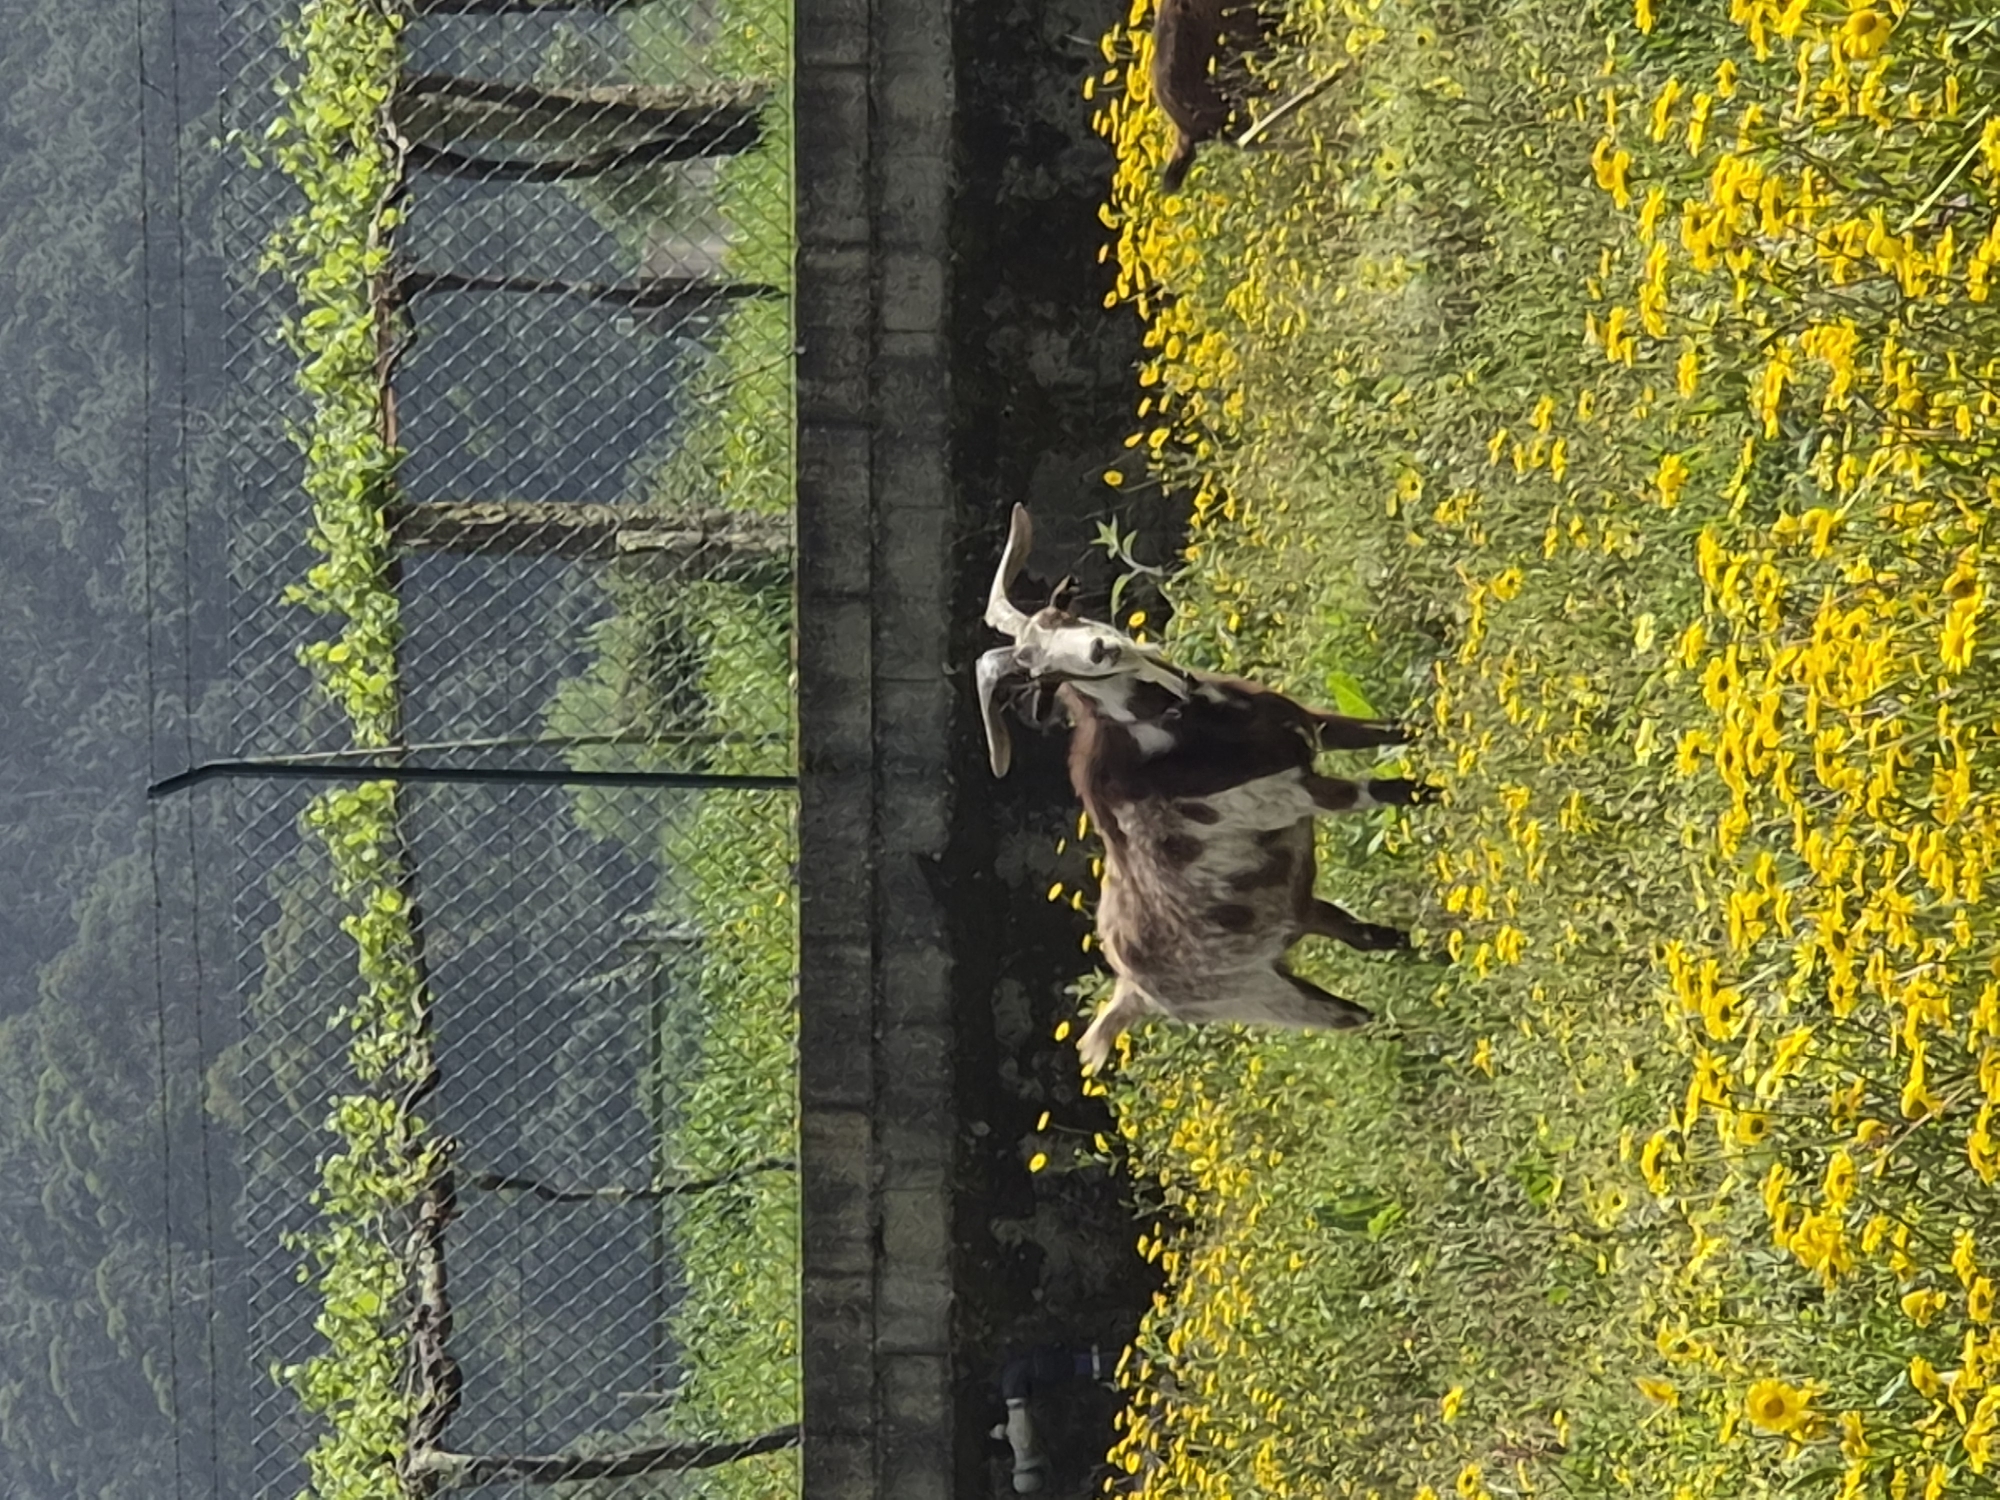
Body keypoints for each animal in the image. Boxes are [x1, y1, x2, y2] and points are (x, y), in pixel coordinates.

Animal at [976, 505, 1430, 1071]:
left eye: (1060, 615)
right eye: (1044, 676)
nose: (1102, 650)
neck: (1180, 731)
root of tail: (1130, 992)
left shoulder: (1312, 725)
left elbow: (1393, 729)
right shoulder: (1291, 794)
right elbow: (1389, 791)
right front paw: (1442, 789)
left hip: (1293, 914)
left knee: (1365, 937)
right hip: (1264, 995)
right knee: (1354, 1015)